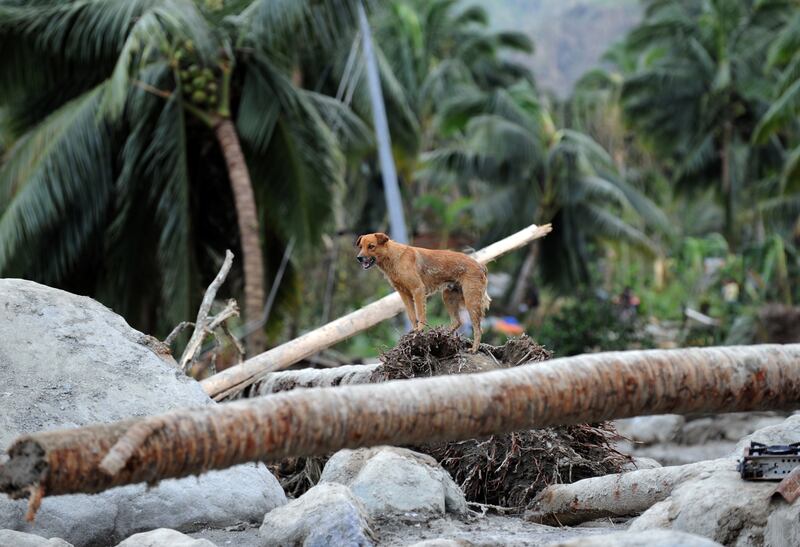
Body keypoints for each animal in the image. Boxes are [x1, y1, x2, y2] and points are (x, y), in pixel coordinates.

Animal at [354, 233, 490, 354]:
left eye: (371, 246)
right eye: (360, 247)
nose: (359, 258)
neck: (394, 258)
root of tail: (480, 266)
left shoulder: (418, 289)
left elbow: (420, 315)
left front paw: (419, 331)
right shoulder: (404, 294)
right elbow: (412, 316)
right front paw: (414, 332)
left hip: (471, 301)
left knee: (478, 329)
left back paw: (474, 349)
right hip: (448, 296)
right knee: (457, 322)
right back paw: (441, 334)